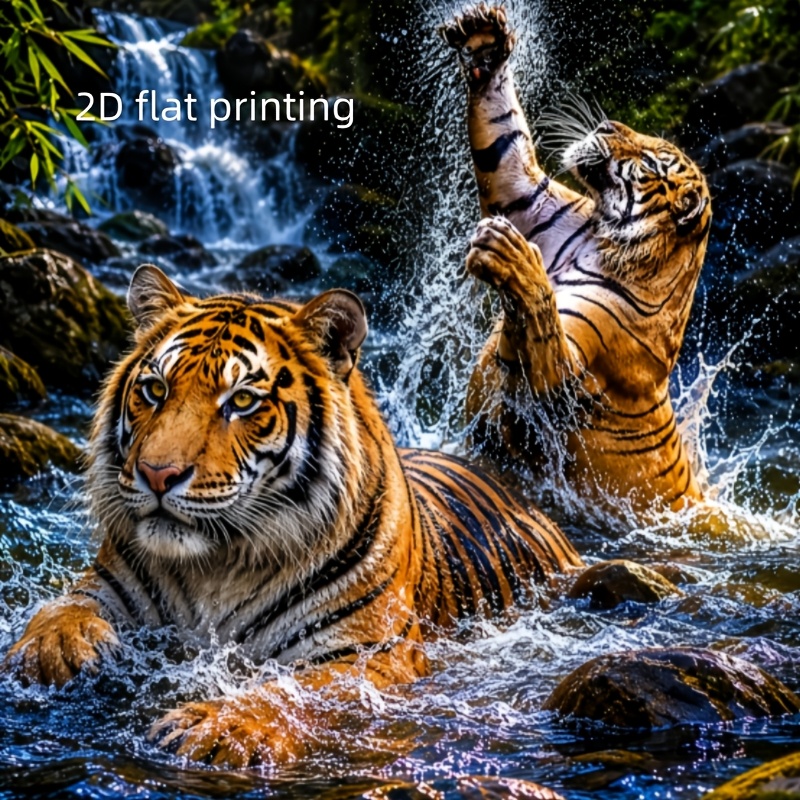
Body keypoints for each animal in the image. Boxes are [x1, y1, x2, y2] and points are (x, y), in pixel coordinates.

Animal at [1, 264, 581, 768]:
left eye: (242, 401)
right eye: (155, 389)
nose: (157, 474)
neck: (216, 566)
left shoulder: (373, 653)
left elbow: (296, 689)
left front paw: (219, 727)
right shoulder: (105, 582)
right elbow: (58, 608)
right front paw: (53, 653)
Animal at [441, 4, 713, 517]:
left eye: (651, 159)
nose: (607, 126)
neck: (601, 239)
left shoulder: (566, 385)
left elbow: (542, 322)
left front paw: (511, 258)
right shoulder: (529, 198)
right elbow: (504, 142)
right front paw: (484, 39)